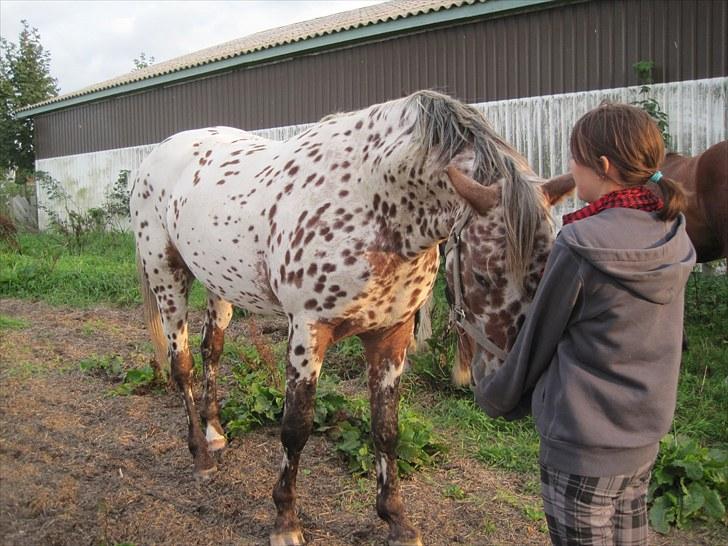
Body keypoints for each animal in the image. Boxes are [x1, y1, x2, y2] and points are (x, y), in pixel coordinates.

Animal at [129, 90, 576, 544]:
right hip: (167, 276)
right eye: (483, 275)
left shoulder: (391, 334)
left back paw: (215, 432)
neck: (372, 204)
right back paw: (201, 457)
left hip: (218, 284)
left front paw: (397, 519)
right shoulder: (308, 329)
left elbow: (386, 428)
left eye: (548, 269)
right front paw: (285, 521)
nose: (510, 396)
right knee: (182, 364)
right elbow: (296, 426)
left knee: (212, 352)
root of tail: (157, 155)